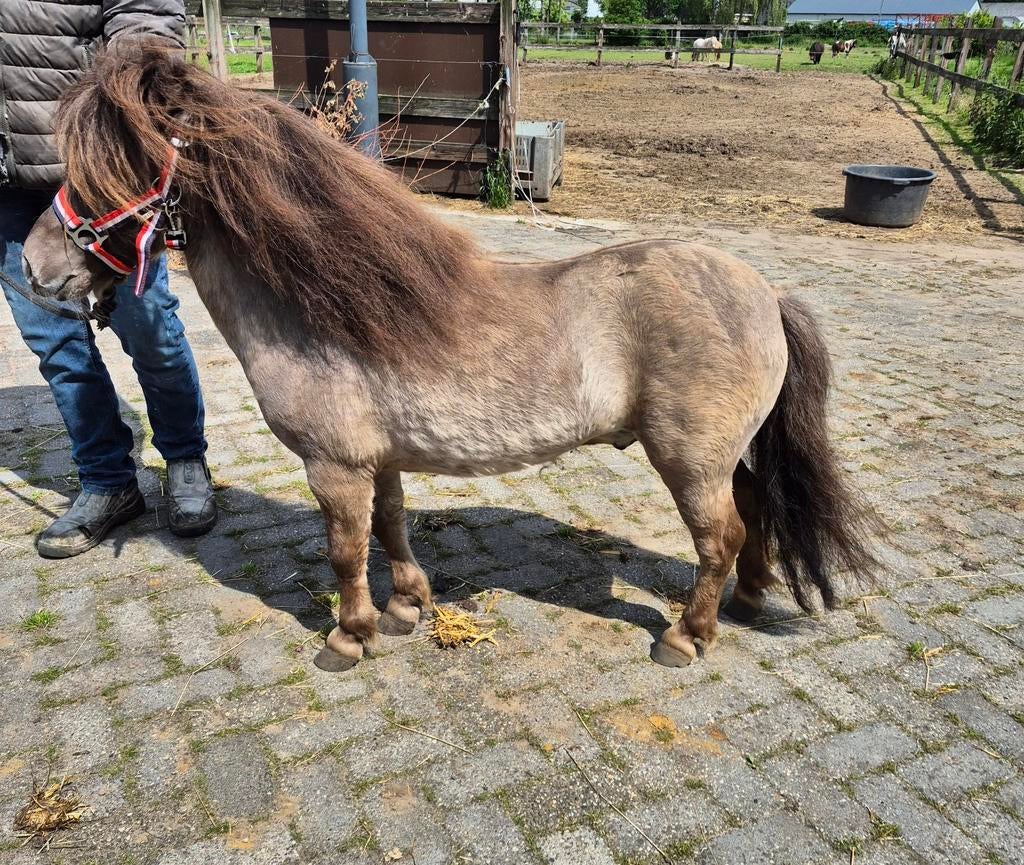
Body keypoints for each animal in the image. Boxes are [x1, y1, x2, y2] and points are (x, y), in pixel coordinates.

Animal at [23, 41, 878, 673]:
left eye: (108, 171)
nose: (33, 267)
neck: (327, 309)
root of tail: (765, 292)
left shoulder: (334, 465)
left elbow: (344, 550)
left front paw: (349, 635)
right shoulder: (378, 459)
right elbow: (391, 525)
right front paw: (406, 605)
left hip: (690, 460)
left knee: (719, 537)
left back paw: (686, 636)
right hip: (727, 453)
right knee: (756, 513)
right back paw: (746, 601)